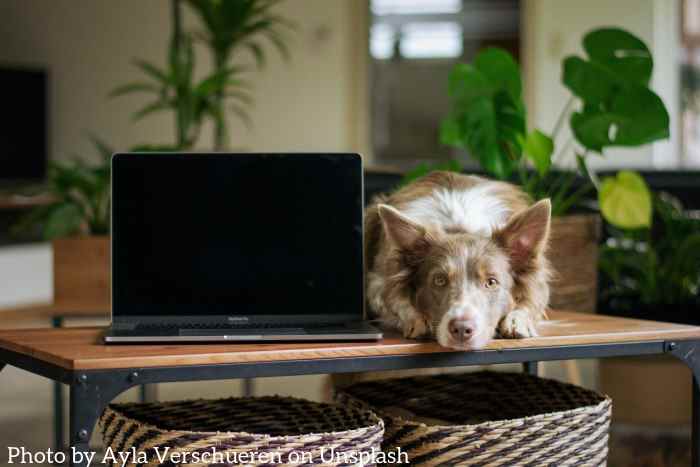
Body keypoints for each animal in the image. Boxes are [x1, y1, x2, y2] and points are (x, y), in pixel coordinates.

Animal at [366, 170, 552, 350]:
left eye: (491, 282)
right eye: (439, 280)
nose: (462, 329)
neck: (459, 228)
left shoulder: (539, 284)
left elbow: (532, 301)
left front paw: (517, 321)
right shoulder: (379, 281)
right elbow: (396, 300)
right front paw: (417, 319)